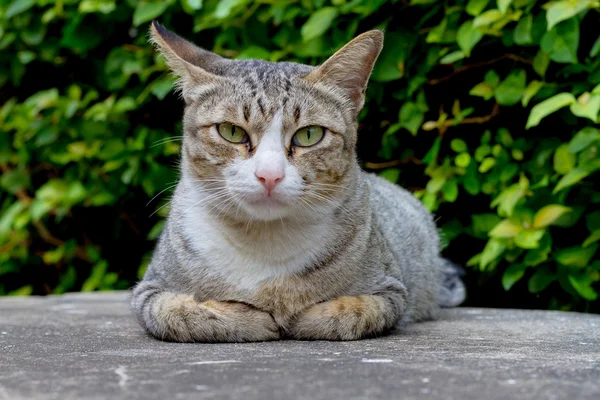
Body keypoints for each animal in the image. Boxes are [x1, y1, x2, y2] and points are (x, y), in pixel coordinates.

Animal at [131, 21, 466, 340]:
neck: (266, 242)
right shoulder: (150, 289)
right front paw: (253, 318)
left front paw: (297, 315)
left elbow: (350, 312)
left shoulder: (390, 290)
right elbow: (179, 312)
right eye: (231, 131)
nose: (269, 174)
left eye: (309, 135)